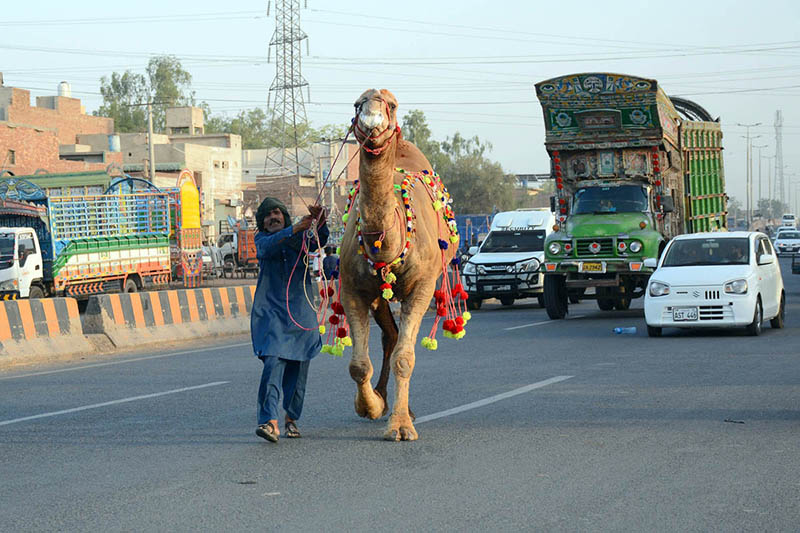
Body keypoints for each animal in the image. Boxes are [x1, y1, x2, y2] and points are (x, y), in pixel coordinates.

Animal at [338, 89, 461, 441]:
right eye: (357, 104)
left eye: (390, 105)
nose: (372, 119)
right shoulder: (353, 287)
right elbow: (357, 365)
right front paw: (370, 406)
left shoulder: (422, 287)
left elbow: (405, 359)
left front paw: (401, 427)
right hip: (381, 292)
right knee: (389, 337)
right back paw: (383, 398)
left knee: (397, 344)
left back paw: (405, 410)